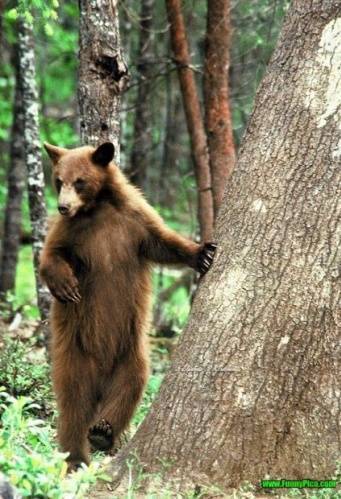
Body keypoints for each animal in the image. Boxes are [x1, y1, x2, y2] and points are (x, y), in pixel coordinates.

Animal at [39, 142, 215, 472]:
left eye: (79, 181)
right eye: (58, 180)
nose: (63, 207)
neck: (98, 209)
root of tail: (100, 376)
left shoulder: (135, 221)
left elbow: (164, 242)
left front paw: (203, 253)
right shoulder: (71, 231)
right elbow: (50, 255)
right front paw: (66, 285)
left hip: (130, 353)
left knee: (131, 385)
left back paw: (103, 430)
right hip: (75, 357)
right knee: (72, 405)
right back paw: (77, 457)